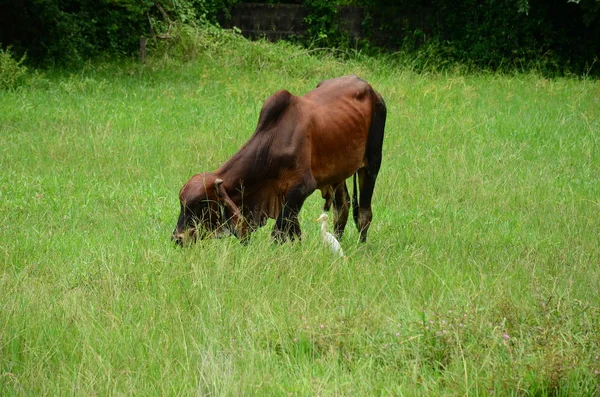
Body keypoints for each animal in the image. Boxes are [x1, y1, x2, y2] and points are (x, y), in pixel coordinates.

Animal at [172, 75, 390, 244]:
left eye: (201, 204)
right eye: (182, 203)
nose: (177, 238)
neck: (273, 144)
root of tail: (371, 89)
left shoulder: (300, 189)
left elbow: (278, 234)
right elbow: (294, 233)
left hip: (372, 163)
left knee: (364, 214)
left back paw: (360, 247)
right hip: (337, 173)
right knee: (342, 210)